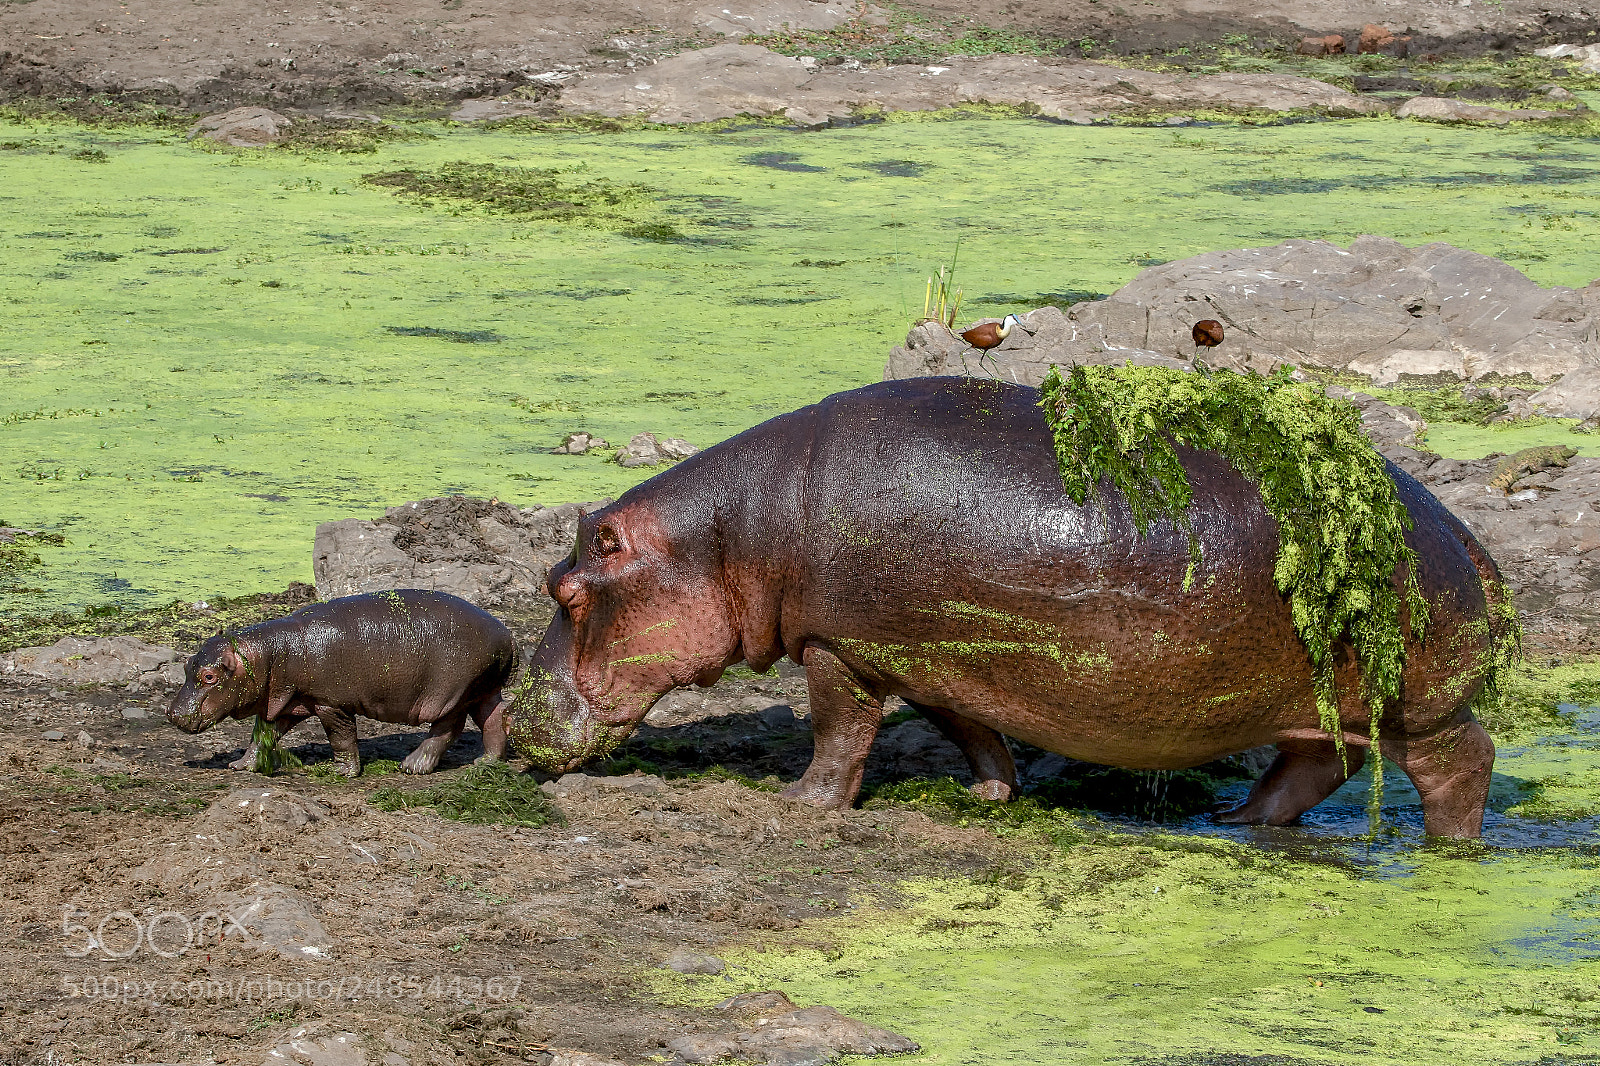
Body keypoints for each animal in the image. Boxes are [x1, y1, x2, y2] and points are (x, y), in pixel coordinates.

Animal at [168, 589, 517, 776]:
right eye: (187, 665)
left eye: (210, 676)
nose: (172, 714)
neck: (269, 654)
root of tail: (507, 634)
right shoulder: (284, 701)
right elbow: (262, 736)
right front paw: (240, 765)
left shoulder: (330, 703)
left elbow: (342, 737)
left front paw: (341, 771)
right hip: (483, 688)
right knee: (495, 718)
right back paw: (486, 762)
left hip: (451, 694)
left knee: (447, 729)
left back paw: (411, 766)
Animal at [508, 378, 1512, 838]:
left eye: (564, 591)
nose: (513, 726)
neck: (726, 538)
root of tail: (1463, 534)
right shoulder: (933, 654)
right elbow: (968, 728)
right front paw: (992, 795)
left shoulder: (838, 645)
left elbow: (839, 731)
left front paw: (801, 803)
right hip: (1321, 704)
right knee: (1317, 765)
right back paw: (1236, 821)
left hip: (1419, 707)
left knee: (1463, 762)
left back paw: (1450, 848)